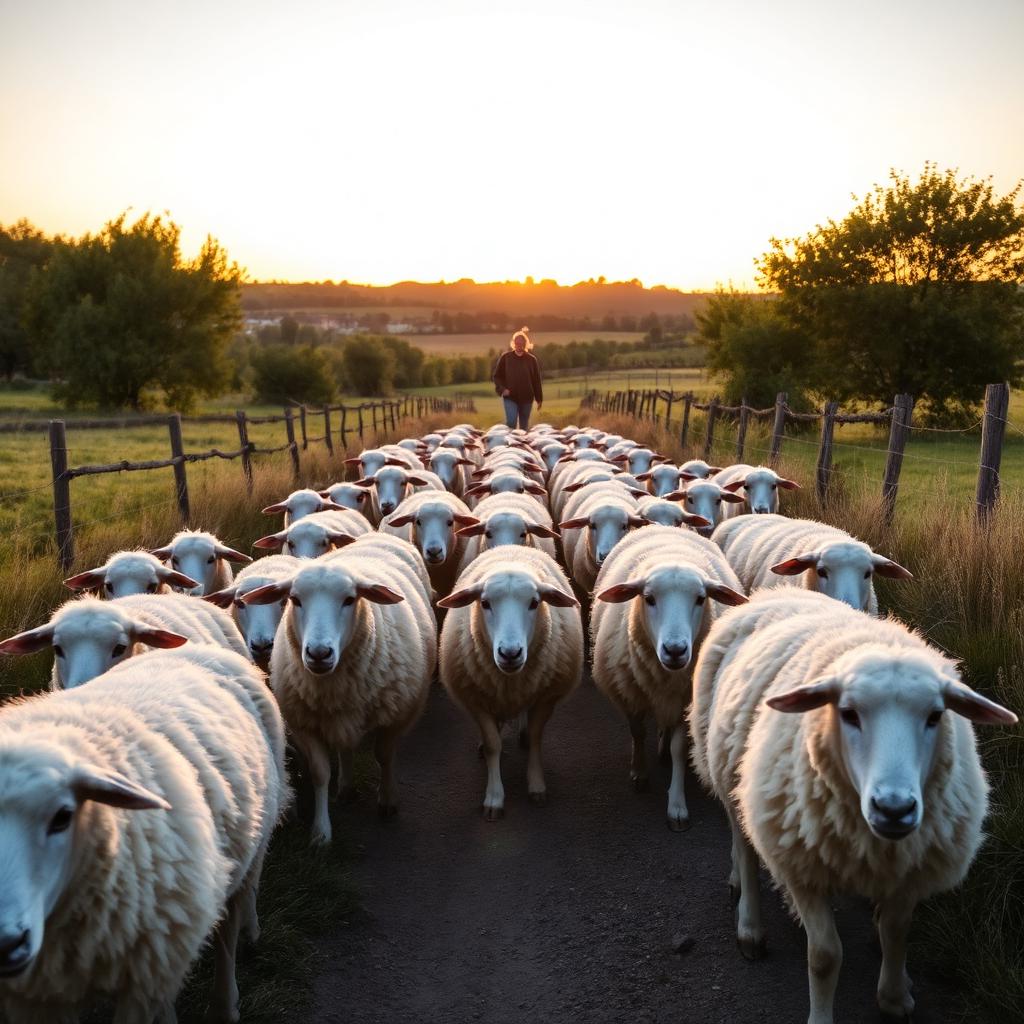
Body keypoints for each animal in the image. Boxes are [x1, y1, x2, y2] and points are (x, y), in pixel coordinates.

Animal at [0, 643, 288, 1024]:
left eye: (62, 817)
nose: (5, 943)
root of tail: (201, 648)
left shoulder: (145, 974)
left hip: (250, 845)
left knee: (230, 927)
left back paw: (226, 1001)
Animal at [243, 534, 435, 843]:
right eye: (294, 599)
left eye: (349, 599)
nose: (319, 653)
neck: (333, 685)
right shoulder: (304, 724)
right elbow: (320, 773)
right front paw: (321, 832)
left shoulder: (396, 717)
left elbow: (384, 756)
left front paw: (387, 801)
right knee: (346, 745)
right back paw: (344, 787)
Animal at [438, 546, 583, 819]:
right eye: (484, 603)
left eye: (534, 603)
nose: (510, 653)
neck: (510, 680)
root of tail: (510, 548)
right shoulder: (477, 700)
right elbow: (493, 744)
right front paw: (494, 797)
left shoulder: (545, 698)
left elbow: (536, 737)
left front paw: (536, 785)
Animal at [590, 526, 746, 829]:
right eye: (649, 598)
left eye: (700, 598)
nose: (675, 650)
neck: (666, 677)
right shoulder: (630, 694)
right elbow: (637, 732)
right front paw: (639, 773)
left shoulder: (686, 702)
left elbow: (678, 748)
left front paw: (676, 804)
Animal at [689, 589, 1016, 1023]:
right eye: (847, 713)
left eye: (935, 715)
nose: (893, 808)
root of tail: (777, 591)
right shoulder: (802, 866)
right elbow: (825, 956)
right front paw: (821, 1014)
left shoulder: (909, 869)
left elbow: (896, 931)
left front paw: (894, 996)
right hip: (731, 778)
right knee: (744, 847)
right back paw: (750, 925)